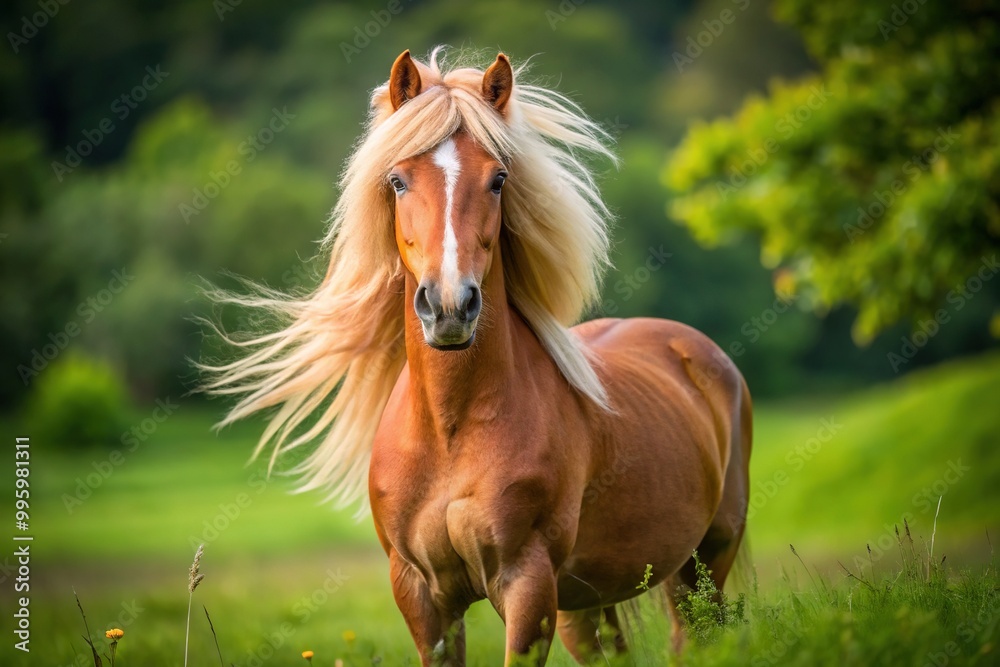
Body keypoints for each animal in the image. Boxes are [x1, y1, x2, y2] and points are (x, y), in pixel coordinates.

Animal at [203, 48, 752, 666]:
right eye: (397, 180)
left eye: (499, 179)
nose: (449, 306)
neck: (451, 431)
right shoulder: (421, 594)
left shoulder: (528, 585)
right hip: (589, 602)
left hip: (704, 561)